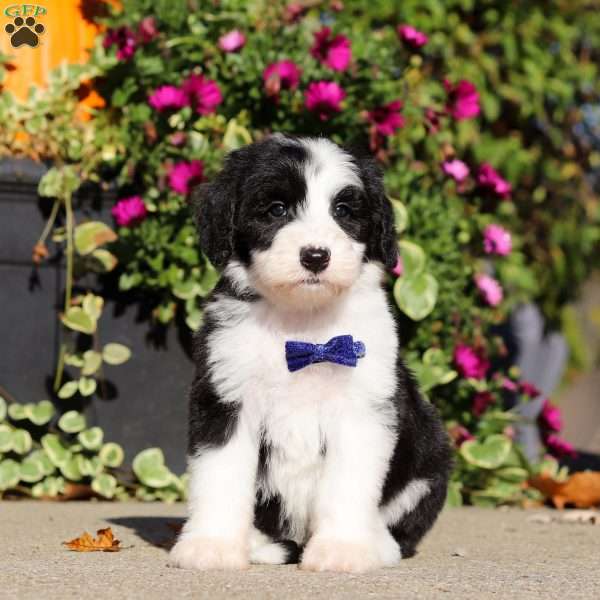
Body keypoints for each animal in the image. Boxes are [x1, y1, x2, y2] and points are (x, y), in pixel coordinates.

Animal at [169, 135, 450, 572]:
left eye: (343, 211)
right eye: (276, 209)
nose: (316, 256)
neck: (302, 324)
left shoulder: (362, 409)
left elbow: (349, 482)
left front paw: (342, 549)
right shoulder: (225, 397)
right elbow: (221, 473)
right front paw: (211, 545)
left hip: (431, 455)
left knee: (403, 532)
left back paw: (378, 544)